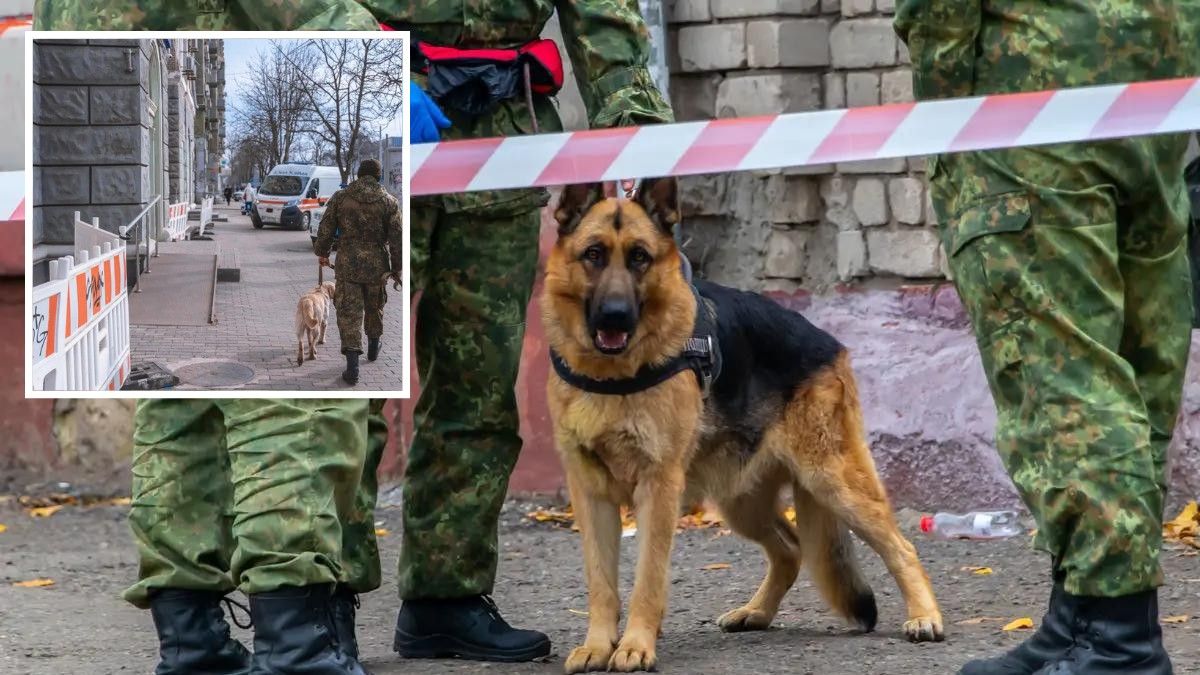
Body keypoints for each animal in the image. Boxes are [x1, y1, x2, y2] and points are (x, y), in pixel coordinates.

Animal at [544, 176, 945, 667]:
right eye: (594, 254)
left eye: (640, 257)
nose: (615, 315)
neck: (612, 377)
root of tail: (828, 340)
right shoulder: (591, 495)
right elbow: (601, 583)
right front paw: (599, 646)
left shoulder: (658, 490)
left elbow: (647, 579)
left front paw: (637, 644)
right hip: (740, 501)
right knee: (790, 548)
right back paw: (756, 612)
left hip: (832, 482)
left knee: (899, 546)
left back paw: (924, 616)